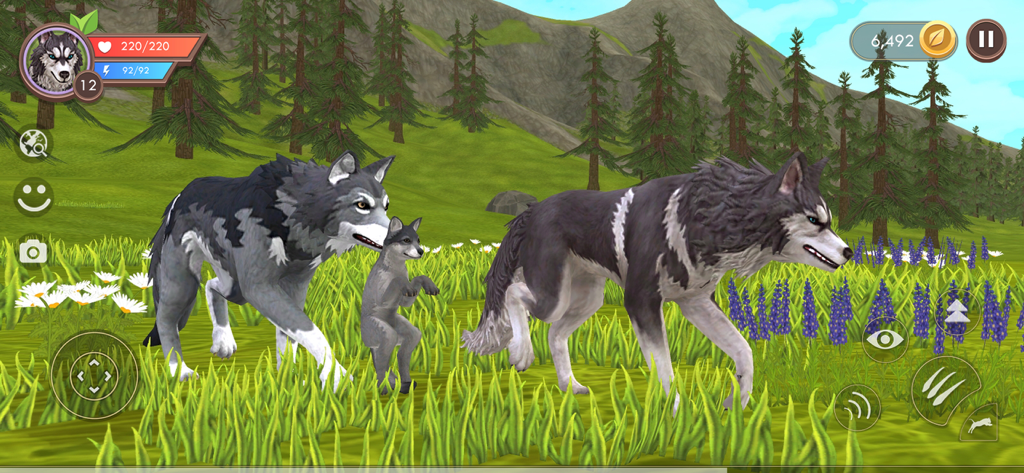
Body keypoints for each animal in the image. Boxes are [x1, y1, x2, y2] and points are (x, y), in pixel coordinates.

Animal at [143, 151, 395, 391]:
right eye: (362, 205)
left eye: (386, 206)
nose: (401, 237)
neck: (293, 214)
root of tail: (180, 195)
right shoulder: (259, 288)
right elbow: (313, 332)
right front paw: (336, 377)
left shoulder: (294, 287)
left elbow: (290, 340)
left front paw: (288, 379)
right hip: (186, 286)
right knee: (165, 319)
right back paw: (179, 371)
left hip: (234, 288)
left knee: (211, 286)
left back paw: (222, 342)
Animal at [361, 216, 439, 394]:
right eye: (406, 240)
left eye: (418, 240)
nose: (421, 251)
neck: (396, 268)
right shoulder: (382, 297)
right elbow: (398, 280)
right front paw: (404, 283)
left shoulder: (405, 300)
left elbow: (418, 278)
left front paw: (429, 285)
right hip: (387, 335)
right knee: (382, 366)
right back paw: (383, 388)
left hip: (410, 334)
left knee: (401, 357)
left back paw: (405, 384)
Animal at [462, 151, 850, 410]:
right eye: (815, 220)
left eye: (828, 220)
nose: (848, 252)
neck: (708, 217)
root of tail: (532, 210)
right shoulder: (642, 302)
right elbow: (664, 366)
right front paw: (677, 413)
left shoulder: (696, 303)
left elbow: (744, 351)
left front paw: (737, 401)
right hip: (553, 296)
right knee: (515, 294)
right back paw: (521, 352)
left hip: (588, 299)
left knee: (555, 333)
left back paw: (570, 385)